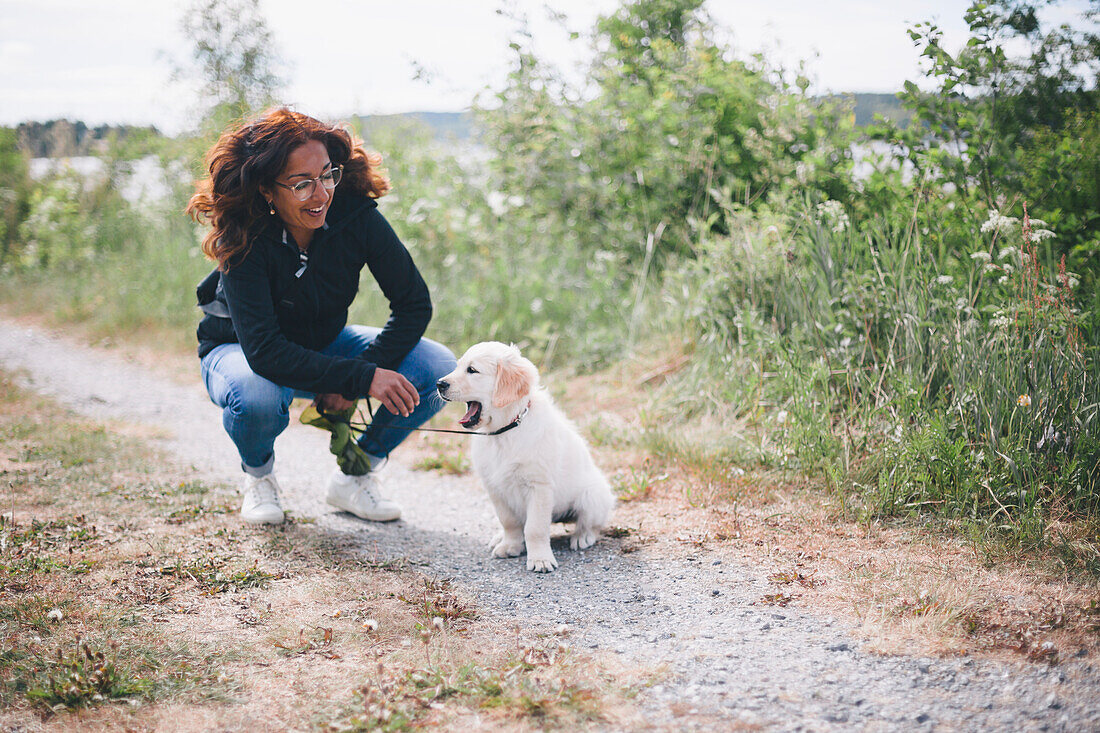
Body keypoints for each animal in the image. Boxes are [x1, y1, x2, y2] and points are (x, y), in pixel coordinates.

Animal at [435, 338, 611, 567]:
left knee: (592, 524)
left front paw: (540, 559)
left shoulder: (539, 486)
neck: (504, 431)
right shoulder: (494, 487)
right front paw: (510, 545)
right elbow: (509, 522)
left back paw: (582, 537)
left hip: (593, 495)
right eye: (458, 366)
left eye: (472, 370)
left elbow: (535, 528)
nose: (439, 384)